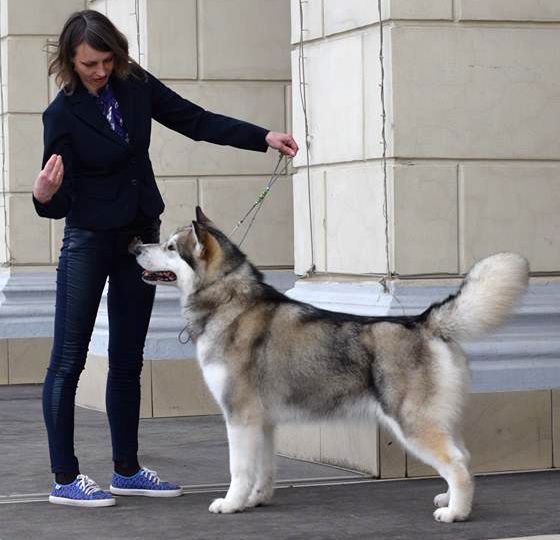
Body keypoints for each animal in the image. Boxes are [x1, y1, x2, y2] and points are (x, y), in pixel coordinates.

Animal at [132, 208, 528, 524]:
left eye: (170, 248)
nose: (135, 247)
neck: (227, 299)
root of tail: (423, 322)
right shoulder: (263, 421)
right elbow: (264, 468)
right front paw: (257, 499)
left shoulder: (239, 415)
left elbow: (239, 469)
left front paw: (231, 504)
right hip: (436, 417)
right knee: (463, 456)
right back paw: (450, 497)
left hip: (411, 422)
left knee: (457, 463)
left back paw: (456, 512)